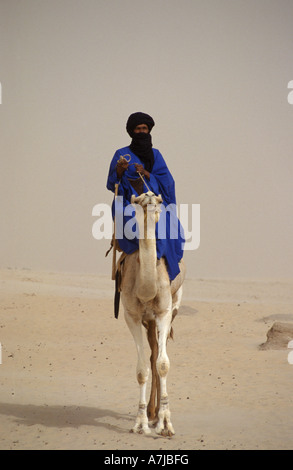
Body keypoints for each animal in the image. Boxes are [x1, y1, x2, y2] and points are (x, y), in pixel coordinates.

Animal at [118, 191, 185, 436]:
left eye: (157, 200)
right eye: (139, 202)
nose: (148, 197)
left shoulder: (164, 312)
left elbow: (163, 364)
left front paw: (165, 424)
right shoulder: (132, 316)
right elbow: (141, 369)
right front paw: (141, 422)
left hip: (171, 309)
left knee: (158, 353)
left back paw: (156, 415)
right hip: (148, 321)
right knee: (152, 352)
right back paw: (151, 412)